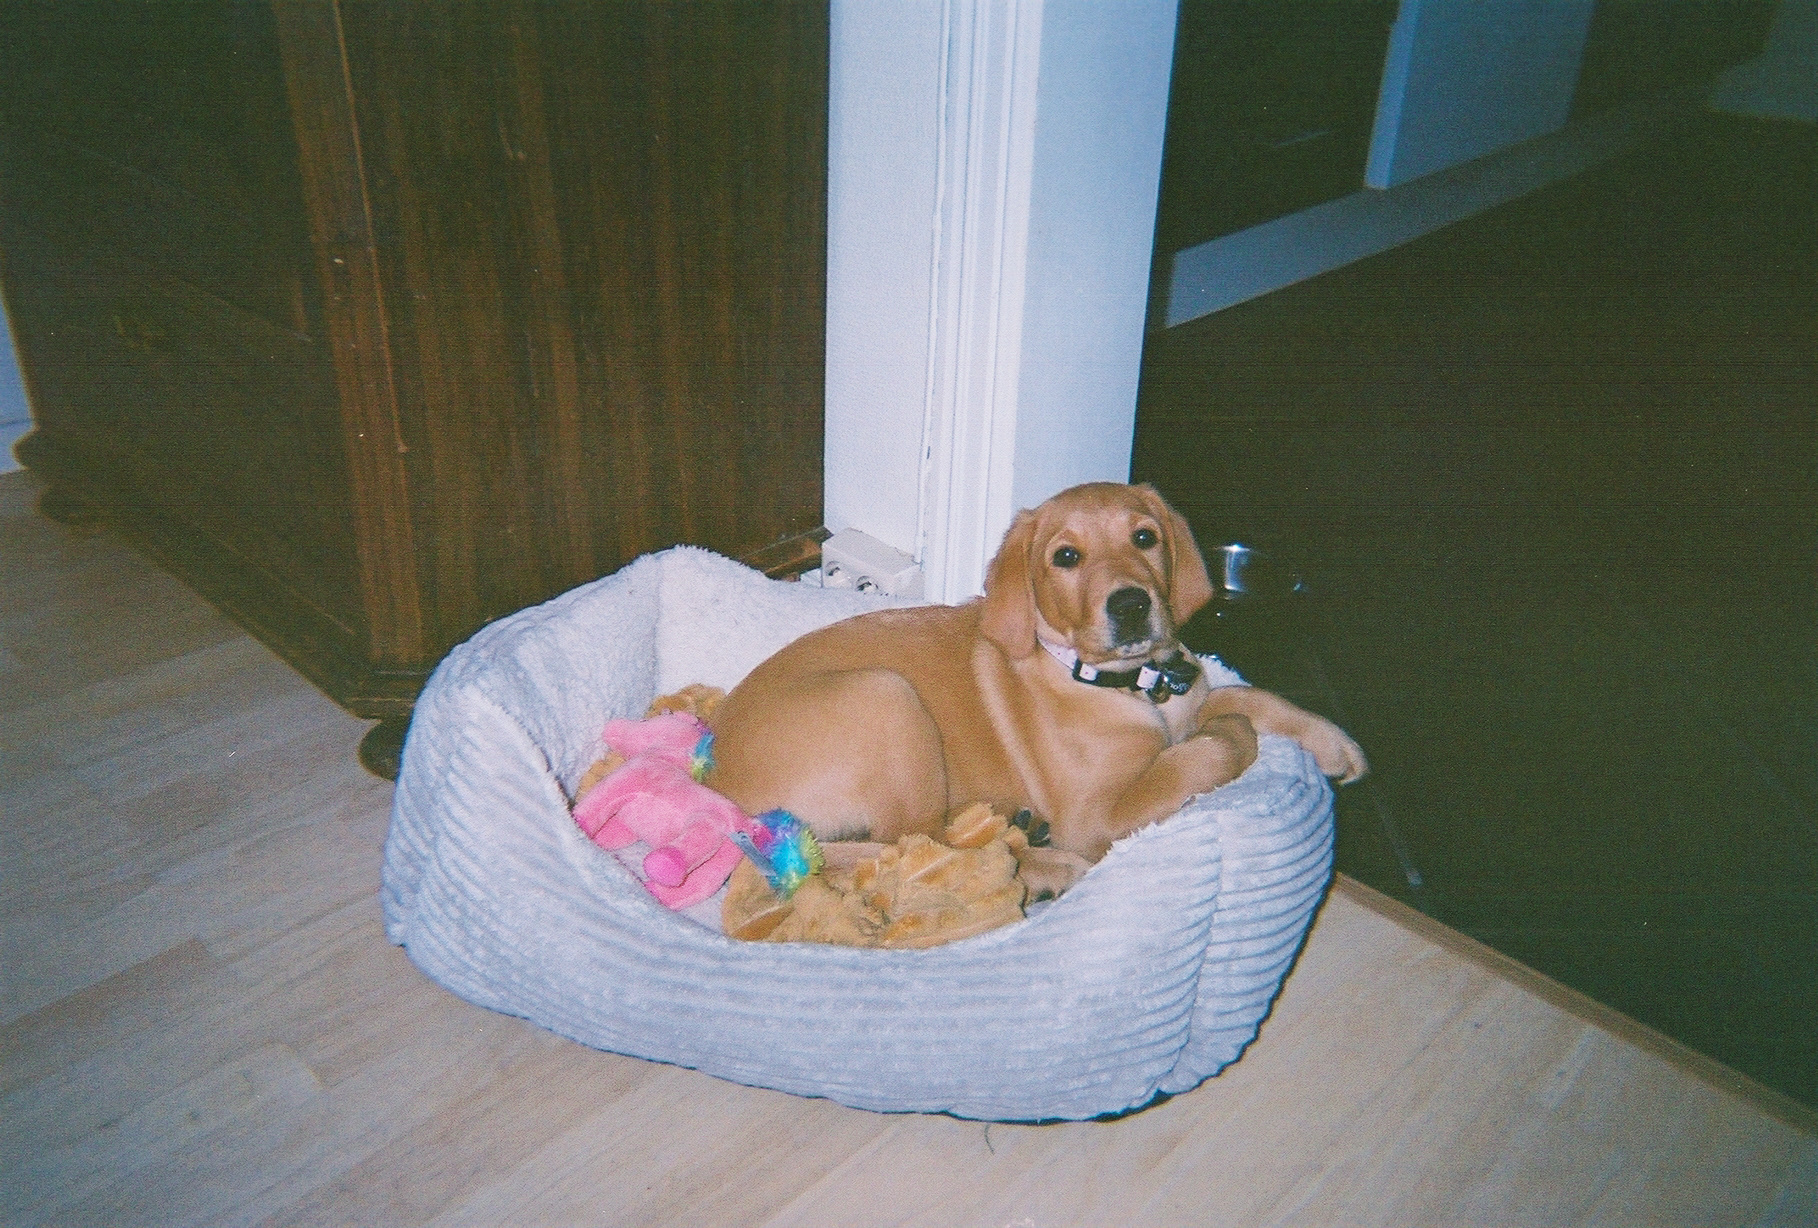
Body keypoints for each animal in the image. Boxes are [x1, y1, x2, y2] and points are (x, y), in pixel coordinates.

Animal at [708, 482, 1366, 894]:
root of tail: (720, 792)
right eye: (1066, 557)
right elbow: (1204, 750)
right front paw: (1231, 735)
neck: (1130, 685)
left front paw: (1332, 743)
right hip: (885, 696)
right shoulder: (1096, 816)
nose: (1131, 605)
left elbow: (1242, 696)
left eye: (1145, 538)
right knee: (914, 849)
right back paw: (1042, 866)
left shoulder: (1188, 687)